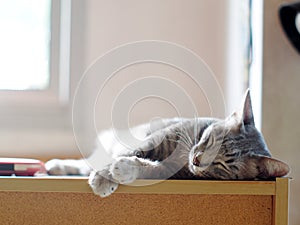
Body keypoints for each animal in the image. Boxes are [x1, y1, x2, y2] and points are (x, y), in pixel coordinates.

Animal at [46, 89, 288, 197]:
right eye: (211, 140)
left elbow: (151, 169)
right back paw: (58, 165)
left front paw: (125, 169)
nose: (197, 160)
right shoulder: (154, 139)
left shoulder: (177, 172)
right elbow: (132, 151)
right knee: (88, 161)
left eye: (222, 165)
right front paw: (104, 176)